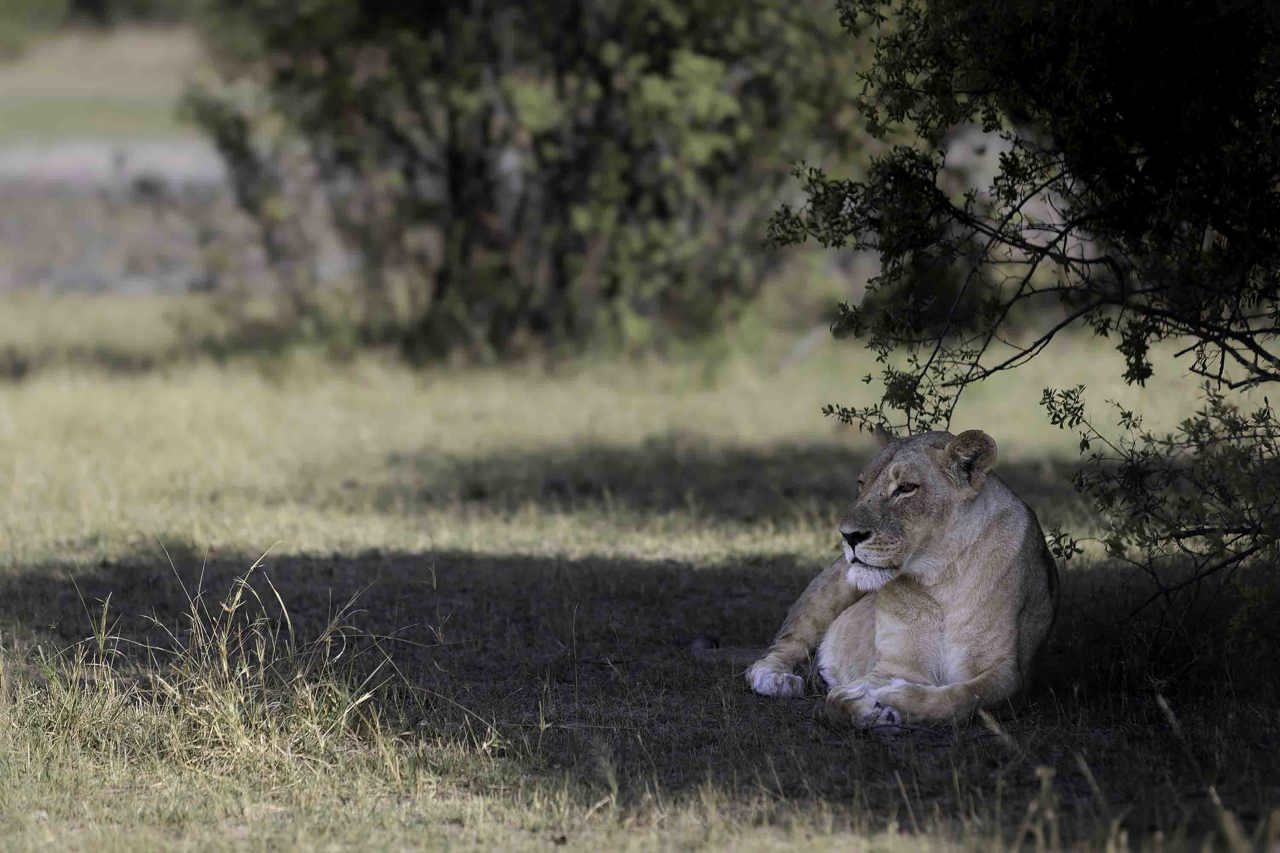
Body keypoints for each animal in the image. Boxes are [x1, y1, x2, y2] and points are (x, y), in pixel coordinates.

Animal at [745, 429, 1059, 728]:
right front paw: (866, 706)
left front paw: (890, 702)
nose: (848, 536)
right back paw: (777, 679)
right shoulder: (895, 666)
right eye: (862, 484)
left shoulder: (1009, 674)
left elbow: (965, 698)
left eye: (906, 488)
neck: (940, 579)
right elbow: (835, 703)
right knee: (778, 650)